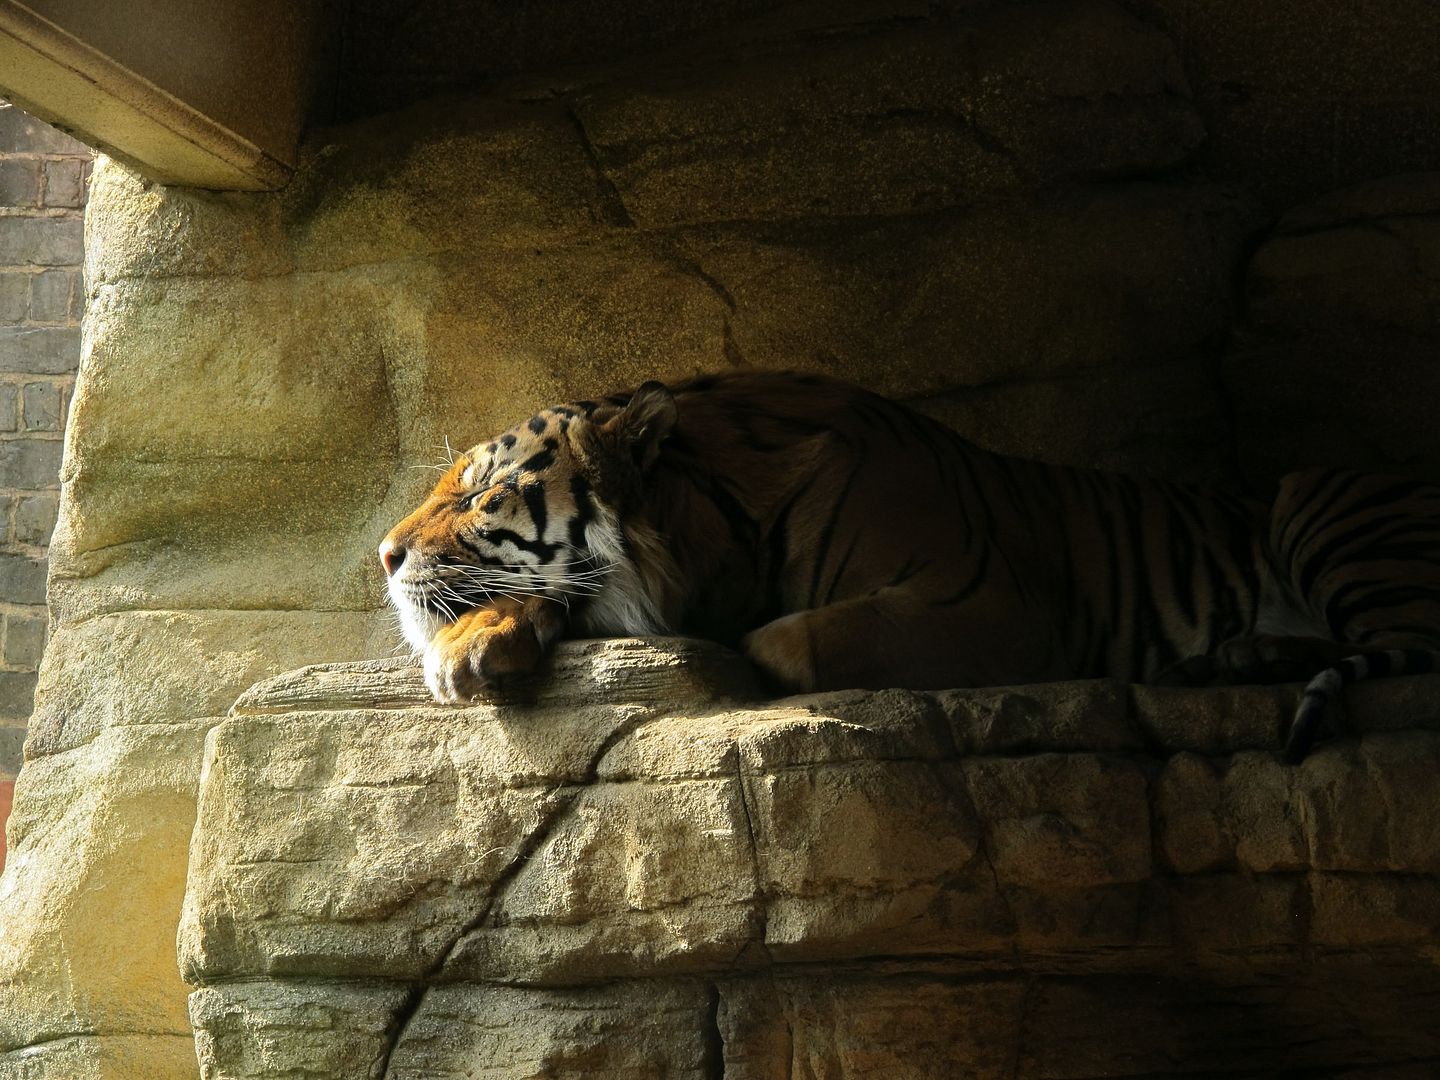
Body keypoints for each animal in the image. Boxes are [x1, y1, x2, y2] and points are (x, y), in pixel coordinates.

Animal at [379, 370, 1440, 761]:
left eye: (479, 494)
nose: (383, 555)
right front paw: (472, 644)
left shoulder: (998, 606)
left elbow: (790, 641)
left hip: (1319, 501)